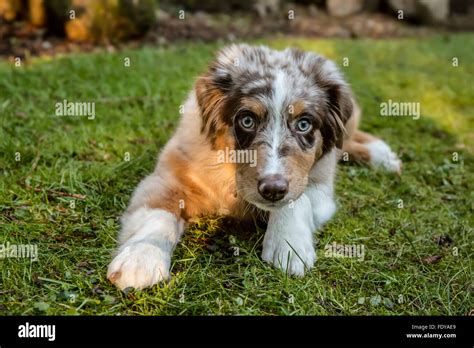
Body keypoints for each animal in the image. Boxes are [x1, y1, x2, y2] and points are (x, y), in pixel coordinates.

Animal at [106, 44, 400, 290]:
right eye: (247, 120)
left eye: (304, 124)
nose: (272, 190)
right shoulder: (168, 177)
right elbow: (158, 215)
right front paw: (141, 257)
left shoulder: (320, 187)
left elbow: (298, 199)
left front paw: (288, 246)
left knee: (347, 138)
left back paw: (382, 155)